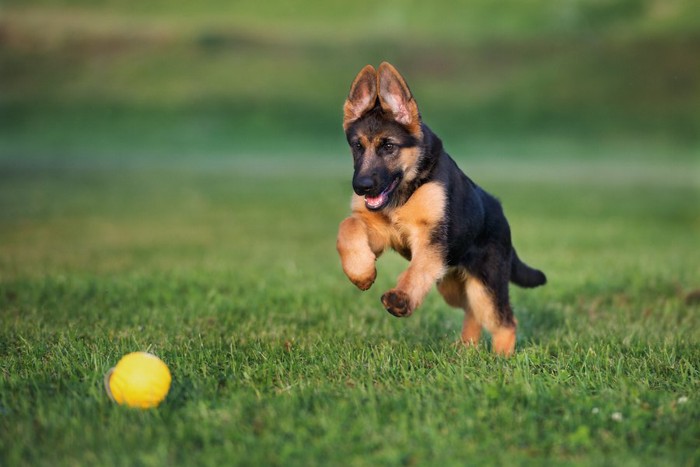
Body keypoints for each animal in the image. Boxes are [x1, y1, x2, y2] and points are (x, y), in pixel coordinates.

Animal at [334, 61, 548, 354]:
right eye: (357, 146)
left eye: (388, 146)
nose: (362, 186)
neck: (405, 190)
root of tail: (500, 212)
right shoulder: (380, 232)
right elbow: (348, 226)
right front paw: (361, 273)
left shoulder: (432, 239)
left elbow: (417, 269)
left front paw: (401, 298)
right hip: (451, 285)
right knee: (472, 310)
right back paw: (467, 348)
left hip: (486, 281)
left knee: (503, 319)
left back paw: (501, 357)